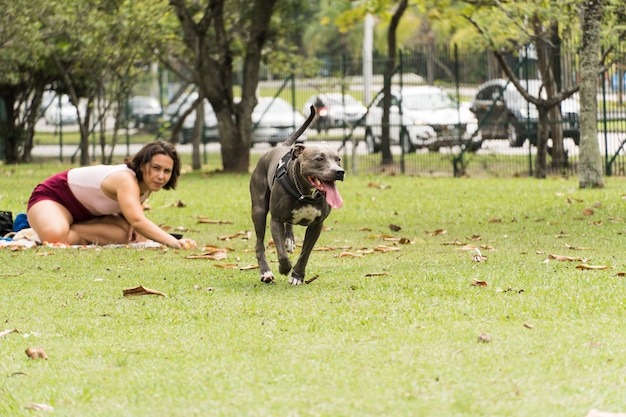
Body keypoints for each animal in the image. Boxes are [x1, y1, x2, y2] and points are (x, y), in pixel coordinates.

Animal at [249, 105, 344, 284]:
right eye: (319, 159)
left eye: (338, 159)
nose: (339, 172)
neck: (305, 193)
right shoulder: (275, 220)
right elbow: (281, 253)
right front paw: (284, 268)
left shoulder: (316, 225)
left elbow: (305, 254)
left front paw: (297, 276)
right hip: (259, 210)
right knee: (259, 244)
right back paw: (265, 272)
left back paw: (289, 240)